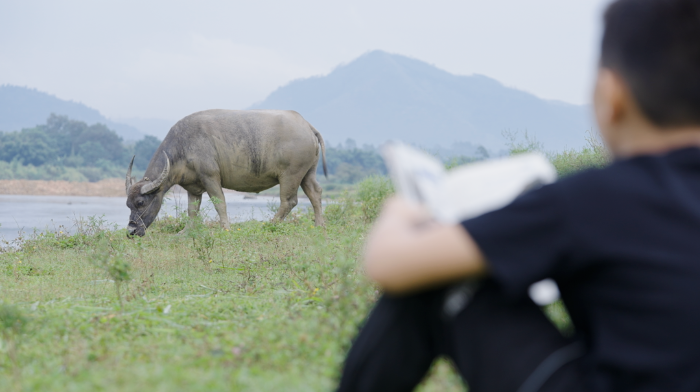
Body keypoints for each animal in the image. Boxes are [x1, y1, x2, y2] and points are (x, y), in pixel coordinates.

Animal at [124, 108, 326, 236]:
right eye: (127, 204)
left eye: (141, 202)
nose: (131, 232)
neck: (182, 147)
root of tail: (307, 126)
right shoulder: (193, 187)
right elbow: (192, 210)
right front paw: (185, 232)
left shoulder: (210, 177)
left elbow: (219, 203)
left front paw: (225, 228)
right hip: (308, 173)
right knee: (315, 193)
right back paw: (318, 226)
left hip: (291, 175)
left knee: (289, 201)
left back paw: (270, 225)